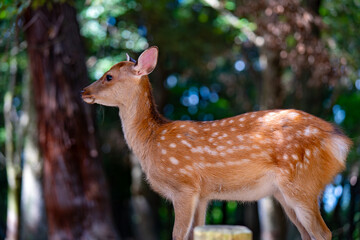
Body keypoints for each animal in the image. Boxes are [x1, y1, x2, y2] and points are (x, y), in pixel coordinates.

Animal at [81, 47, 352, 240]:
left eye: (109, 76)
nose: (84, 91)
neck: (151, 140)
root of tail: (339, 140)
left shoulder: (184, 185)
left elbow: (178, 235)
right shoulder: (203, 194)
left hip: (302, 183)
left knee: (323, 232)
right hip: (285, 193)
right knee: (309, 234)